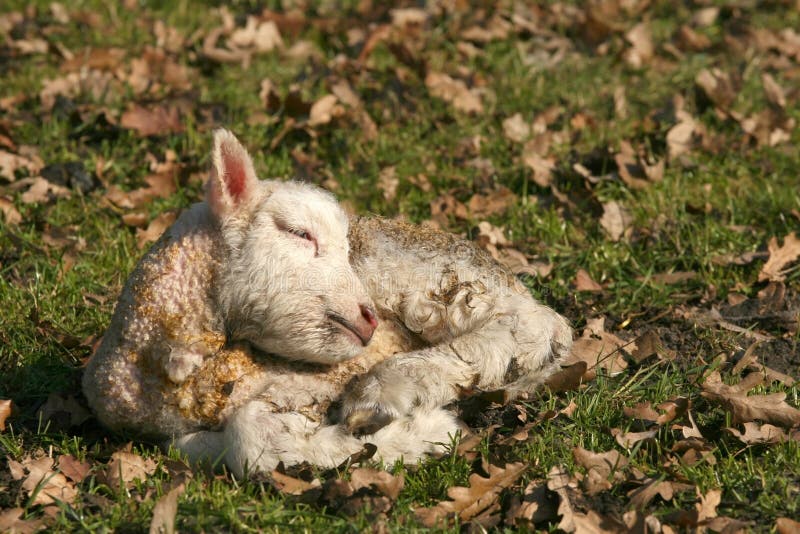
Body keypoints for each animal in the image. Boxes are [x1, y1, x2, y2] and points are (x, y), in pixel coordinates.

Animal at [82, 129, 573, 478]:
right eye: (300, 233)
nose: (369, 317)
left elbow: (251, 439)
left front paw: (426, 434)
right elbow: (246, 443)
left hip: (432, 274)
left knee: (534, 325)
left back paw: (386, 389)